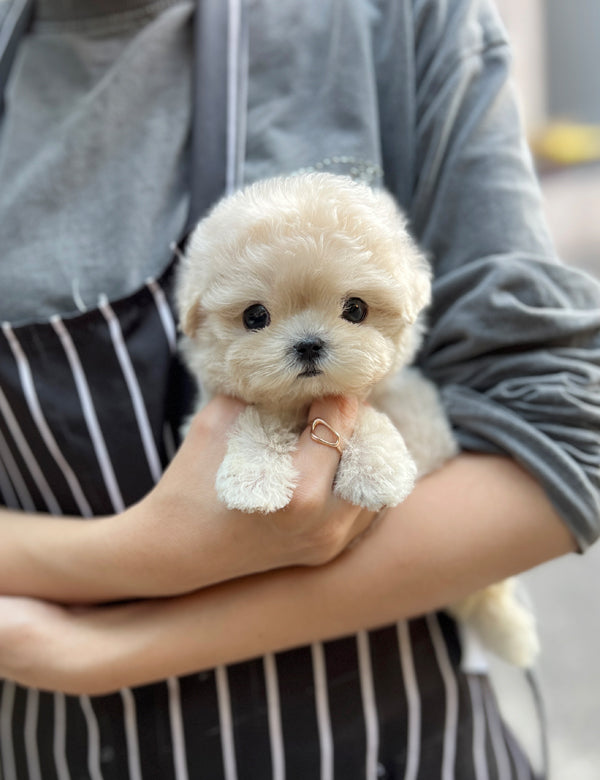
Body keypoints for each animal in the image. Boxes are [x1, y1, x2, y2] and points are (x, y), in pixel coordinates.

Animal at [177, 172, 540, 664]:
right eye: (255, 316)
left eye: (355, 310)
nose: (309, 343)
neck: (306, 404)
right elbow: (255, 417)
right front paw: (255, 478)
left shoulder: (405, 407)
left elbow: (368, 412)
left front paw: (375, 472)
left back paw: (512, 633)